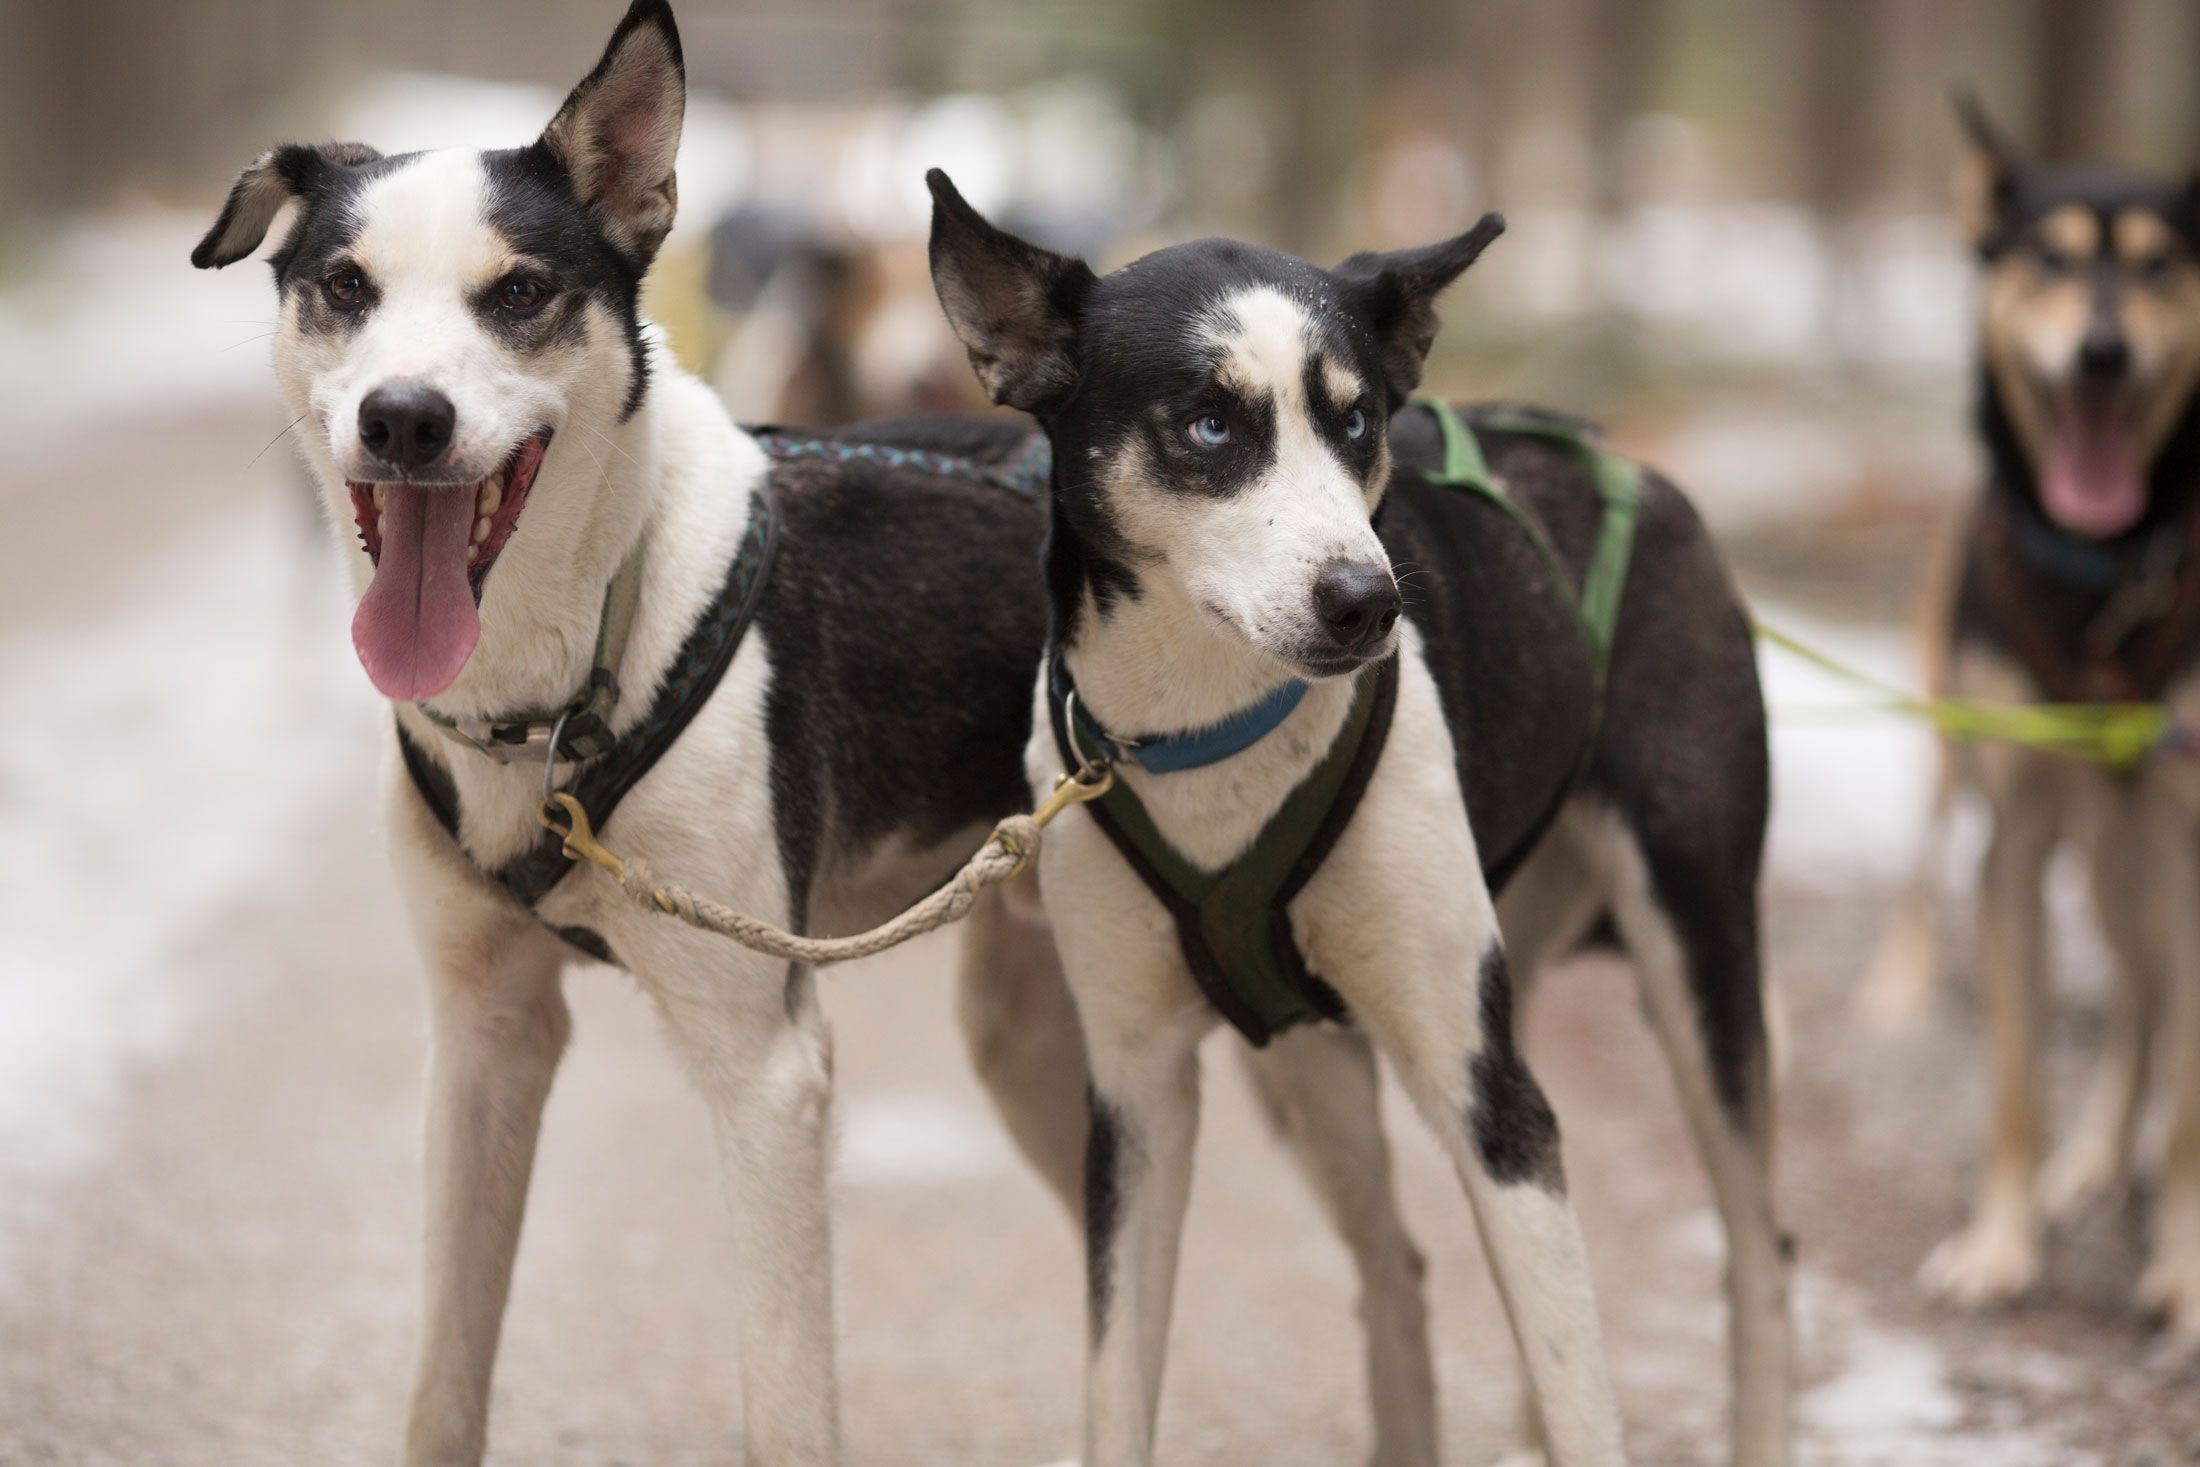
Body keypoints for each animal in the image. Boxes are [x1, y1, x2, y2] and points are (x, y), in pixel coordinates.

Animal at [927, 174, 1793, 1465]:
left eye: (1355, 422)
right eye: (1208, 425)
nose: (1368, 602)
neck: (1211, 731)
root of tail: (1635, 472)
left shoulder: (1491, 1097)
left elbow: (1582, 1395)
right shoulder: (1135, 1098)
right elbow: (1116, 1388)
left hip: (1695, 953)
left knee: (1758, 1249)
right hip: (1306, 1066)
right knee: (1397, 1263)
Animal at [1875, 97, 2200, 1344]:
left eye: (2159, 266)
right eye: (2048, 258)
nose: (2103, 353)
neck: (2102, 577)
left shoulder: (2188, 838)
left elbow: (2192, 1107)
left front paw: (2185, 1277)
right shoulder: (2010, 846)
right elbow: (2015, 1086)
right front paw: (2000, 1247)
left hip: (2142, 860)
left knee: (2152, 1006)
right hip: (2100, 861)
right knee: (2138, 1005)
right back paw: (2095, 1160)